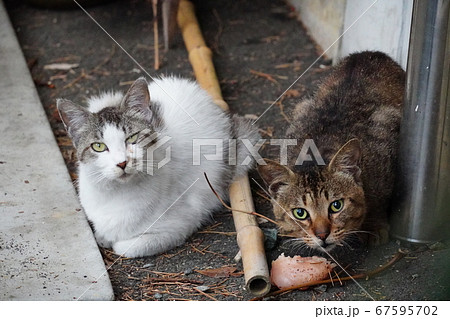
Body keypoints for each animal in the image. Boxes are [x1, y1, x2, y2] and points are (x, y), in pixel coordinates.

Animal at [58, 77, 258, 258]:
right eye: (98, 146)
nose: (122, 163)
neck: (116, 193)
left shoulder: (183, 223)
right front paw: (103, 236)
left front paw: (114, 242)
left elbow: (126, 247)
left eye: (132, 138)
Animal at [258, 52, 406, 252]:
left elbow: (378, 199)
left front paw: (374, 225)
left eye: (336, 206)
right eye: (300, 213)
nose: (322, 235)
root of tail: (370, 53)